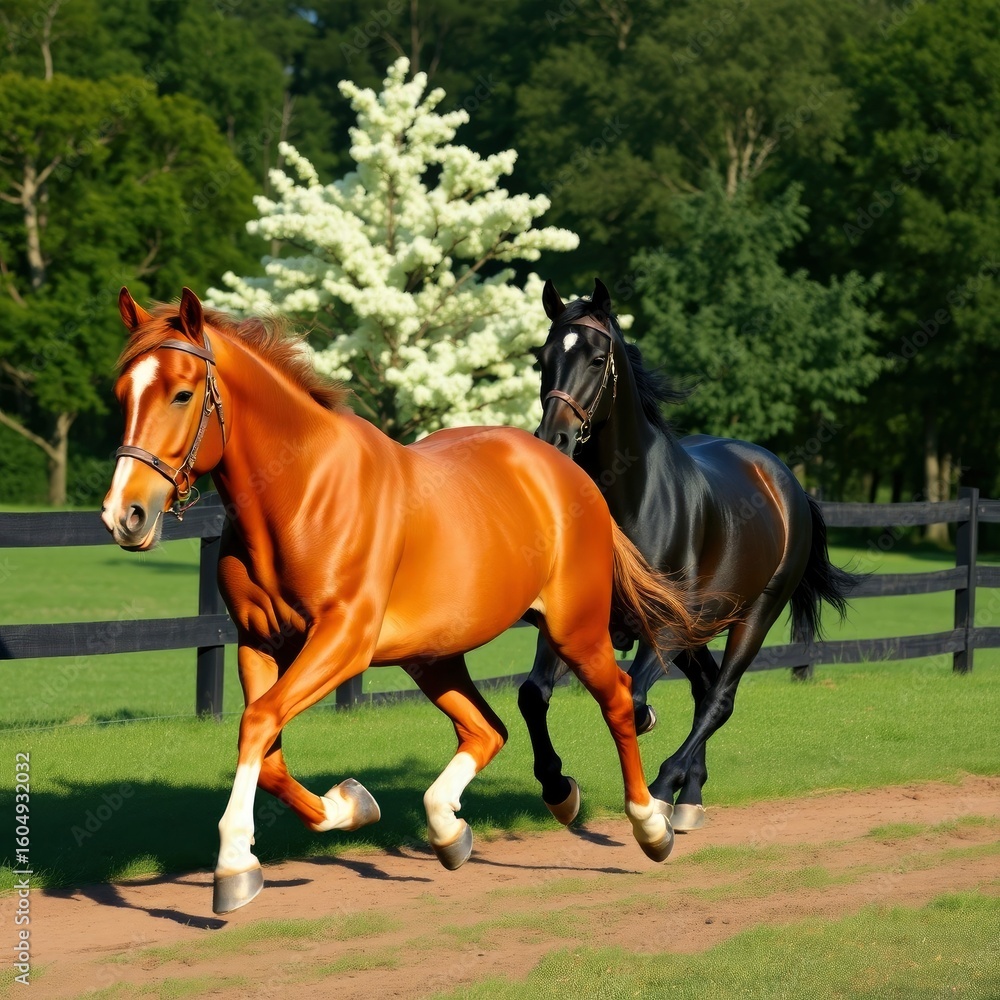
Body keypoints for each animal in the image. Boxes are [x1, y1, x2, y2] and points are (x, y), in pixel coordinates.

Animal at [101, 286, 722, 915]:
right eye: (122, 393)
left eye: (182, 394)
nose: (124, 515)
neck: (302, 494)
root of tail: (568, 471)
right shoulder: (258, 644)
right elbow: (268, 748)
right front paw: (349, 804)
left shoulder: (342, 641)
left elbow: (258, 722)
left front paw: (232, 866)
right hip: (433, 656)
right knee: (487, 729)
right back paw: (453, 826)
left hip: (576, 630)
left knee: (617, 701)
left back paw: (651, 823)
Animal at [521, 278, 859, 831]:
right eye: (542, 357)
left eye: (596, 358)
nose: (555, 438)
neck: (633, 503)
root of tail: (784, 480)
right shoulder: (573, 618)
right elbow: (533, 694)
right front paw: (559, 790)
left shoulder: (665, 630)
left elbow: (634, 699)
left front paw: (647, 767)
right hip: (701, 628)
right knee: (704, 690)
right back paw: (690, 795)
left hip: (753, 615)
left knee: (719, 699)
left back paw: (666, 791)